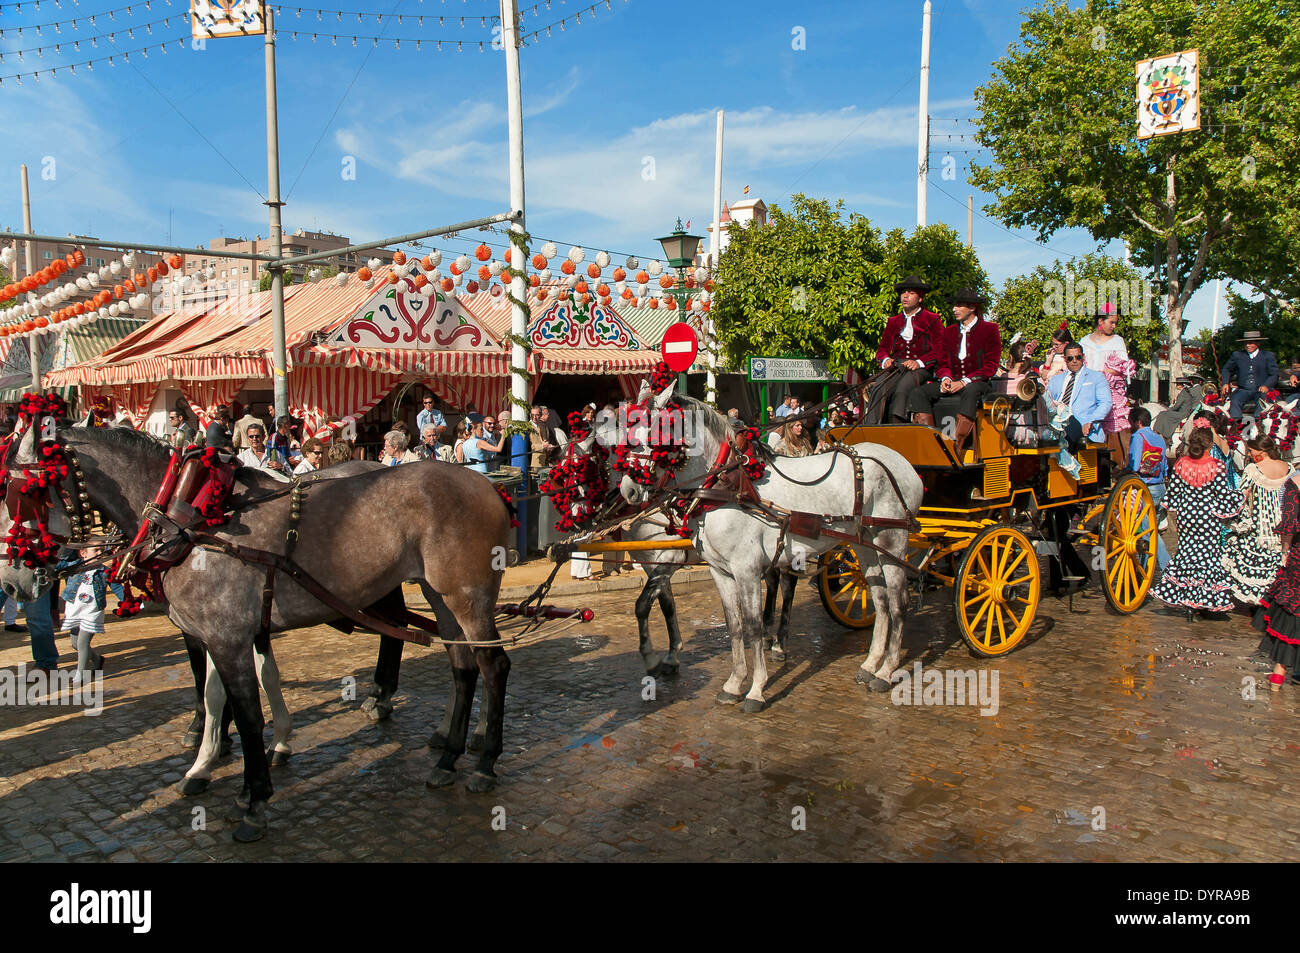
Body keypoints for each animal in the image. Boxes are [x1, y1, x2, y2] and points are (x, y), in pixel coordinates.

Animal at [611, 382, 925, 707]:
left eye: (654, 432)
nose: (629, 490)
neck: (724, 485)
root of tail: (901, 462)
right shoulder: (719, 571)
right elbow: (734, 625)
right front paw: (734, 683)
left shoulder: (746, 569)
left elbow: (753, 625)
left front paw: (756, 689)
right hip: (866, 546)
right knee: (880, 599)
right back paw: (870, 663)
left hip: (893, 541)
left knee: (899, 602)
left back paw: (886, 671)